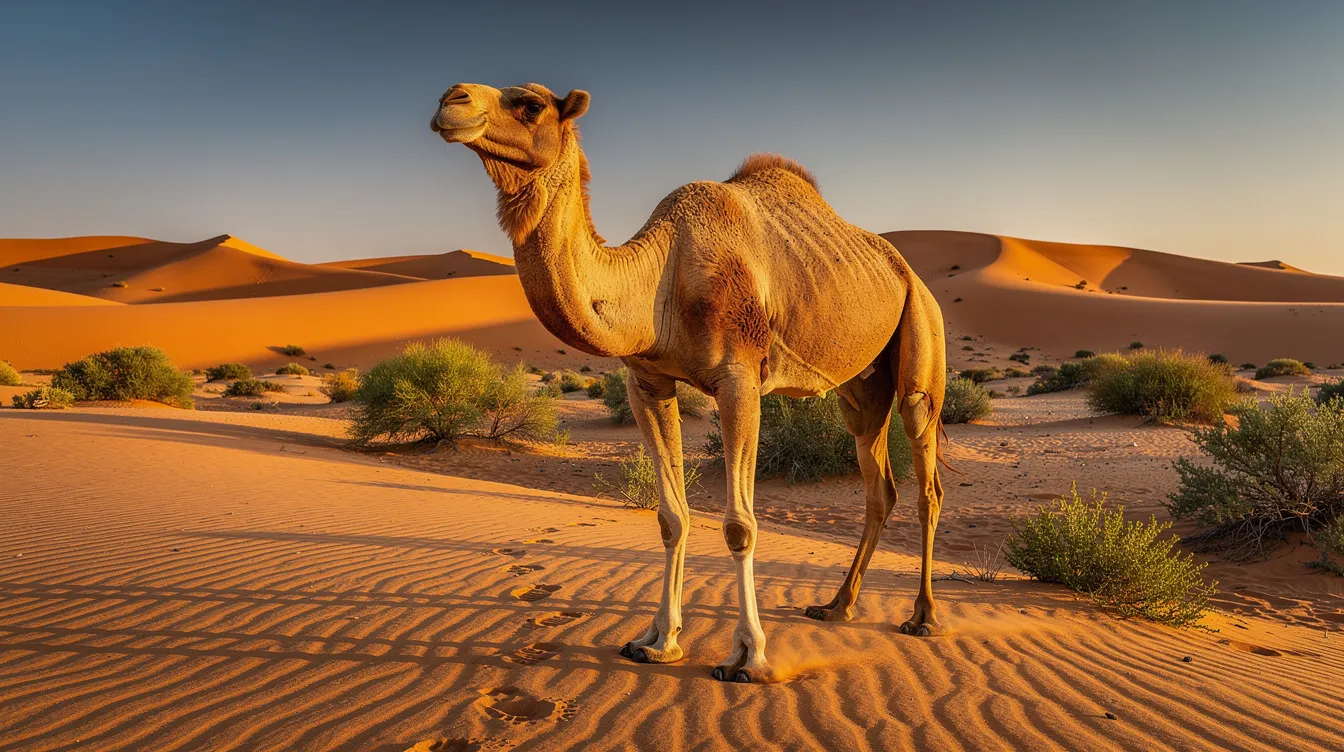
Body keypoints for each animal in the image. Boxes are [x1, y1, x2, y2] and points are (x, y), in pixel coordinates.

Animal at [431, 83, 949, 683]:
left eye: (530, 104)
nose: (452, 99)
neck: (662, 275)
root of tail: (909, 274)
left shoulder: (739, 380)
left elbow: (739, 525)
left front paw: (748, 656)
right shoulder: (649, 383)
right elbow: (670, 517)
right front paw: (657, 639)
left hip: (921, 336)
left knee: (926, 476)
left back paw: (923, 616)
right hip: (860, 390)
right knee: (878, 483)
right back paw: (836, 605)